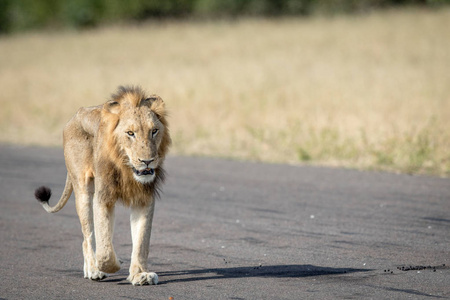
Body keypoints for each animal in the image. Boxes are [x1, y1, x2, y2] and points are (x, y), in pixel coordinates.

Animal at [33, 85, 171, 286]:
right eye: (130, 133)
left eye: (154, 131)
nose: (147, 161)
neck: (126, 169)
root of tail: (75, 115)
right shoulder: (103, 197)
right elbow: (104, 249)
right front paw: (108, 265)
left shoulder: (143, 200)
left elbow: (141, 241)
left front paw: (140, 275)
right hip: (83, 189)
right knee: (87, 236)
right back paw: (93, 270)